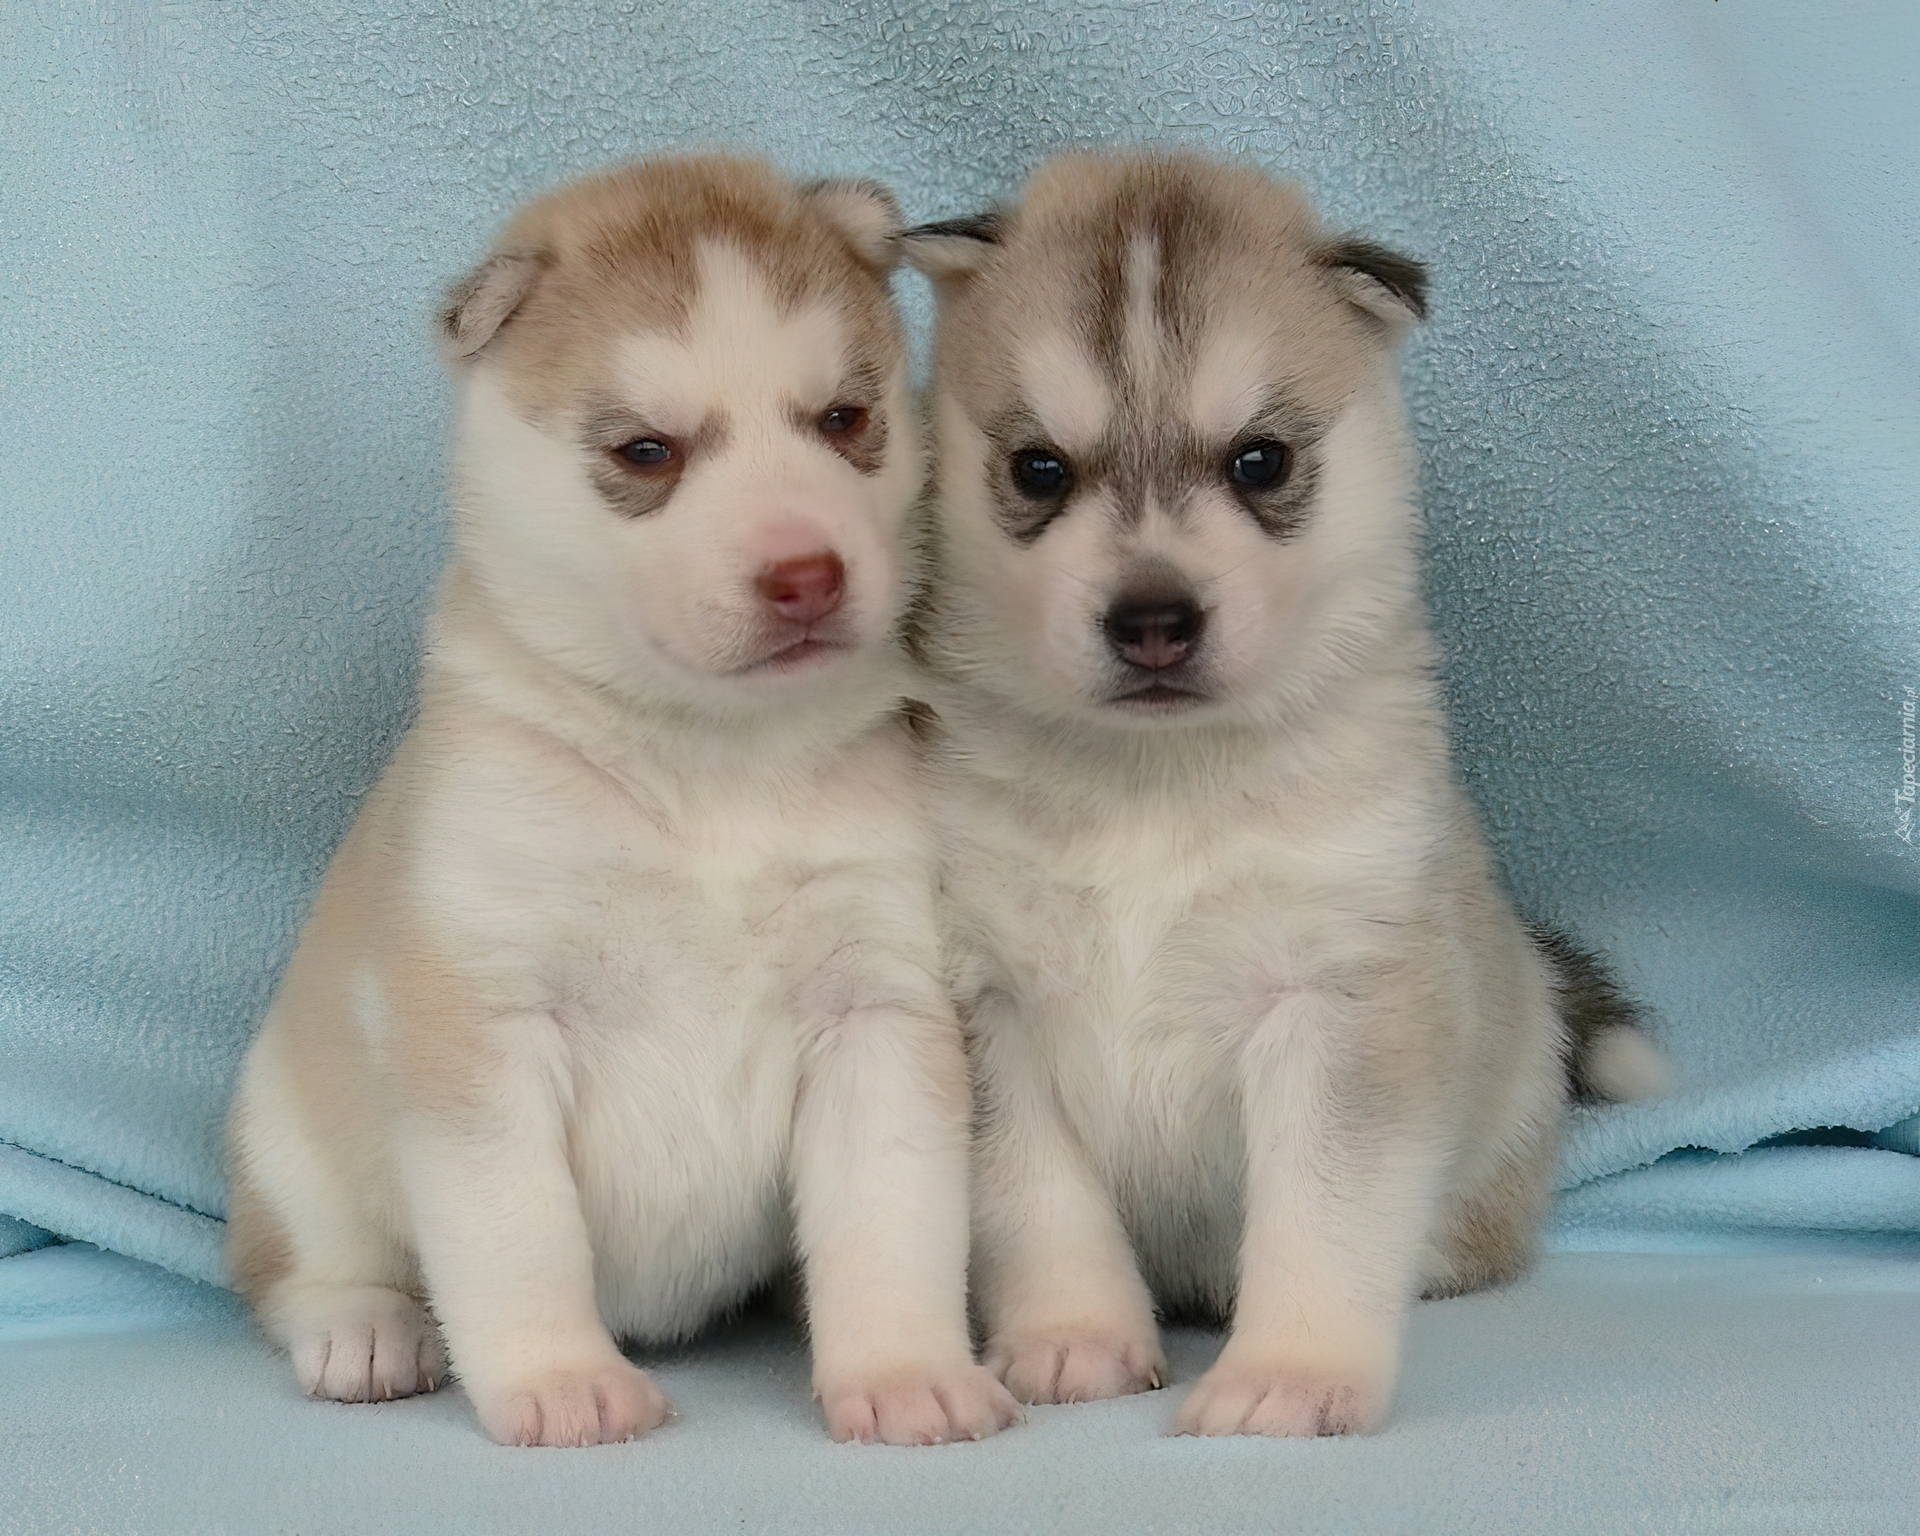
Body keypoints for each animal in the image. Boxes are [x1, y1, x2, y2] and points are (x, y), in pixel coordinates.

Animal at [224, 155, 1021, 1451]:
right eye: (647, 452)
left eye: (844, 419)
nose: (808, 574)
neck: (706, 761)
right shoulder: (483, 1021)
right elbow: (519, 1232)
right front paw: (560, 1380)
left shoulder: (878, 1008)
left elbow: (892, 1216)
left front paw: (907, 1371)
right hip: (291, 1136)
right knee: (301, 1268)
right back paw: (365, 1328)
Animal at [898, 152, 1666, 1443]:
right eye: (1037, 470)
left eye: (1260, 461)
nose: (1153, 618)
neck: (1152, 784)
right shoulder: (986, 1002)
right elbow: (1038, 1199)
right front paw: (1073, 1340)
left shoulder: (1340, 1002)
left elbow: (1323, 1211)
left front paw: (1293, 1375)